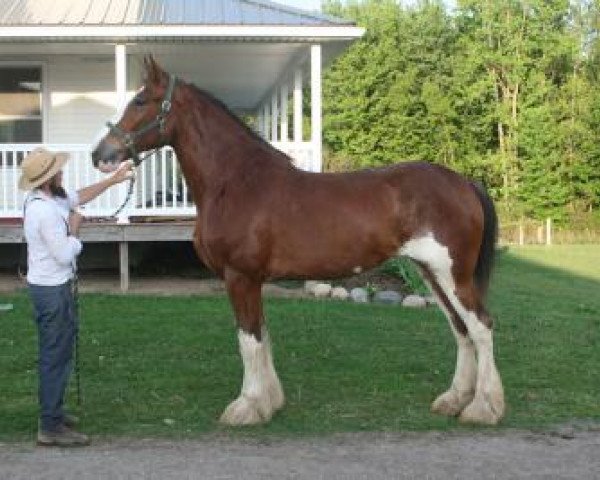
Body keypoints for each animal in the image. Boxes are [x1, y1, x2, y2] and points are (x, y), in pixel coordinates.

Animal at [92, 56, 506, 428]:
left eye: (140, 102)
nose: (100, 155)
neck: (237, 182)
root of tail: (464, 183)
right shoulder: (252, 281)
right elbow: (262, 337)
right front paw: (269, 402)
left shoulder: (240, 276)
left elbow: (249, 341)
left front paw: (246, 408)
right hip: (433, 273)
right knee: (460, 328)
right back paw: (454, 400)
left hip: (452, 274)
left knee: (481, 326)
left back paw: (483, 408)